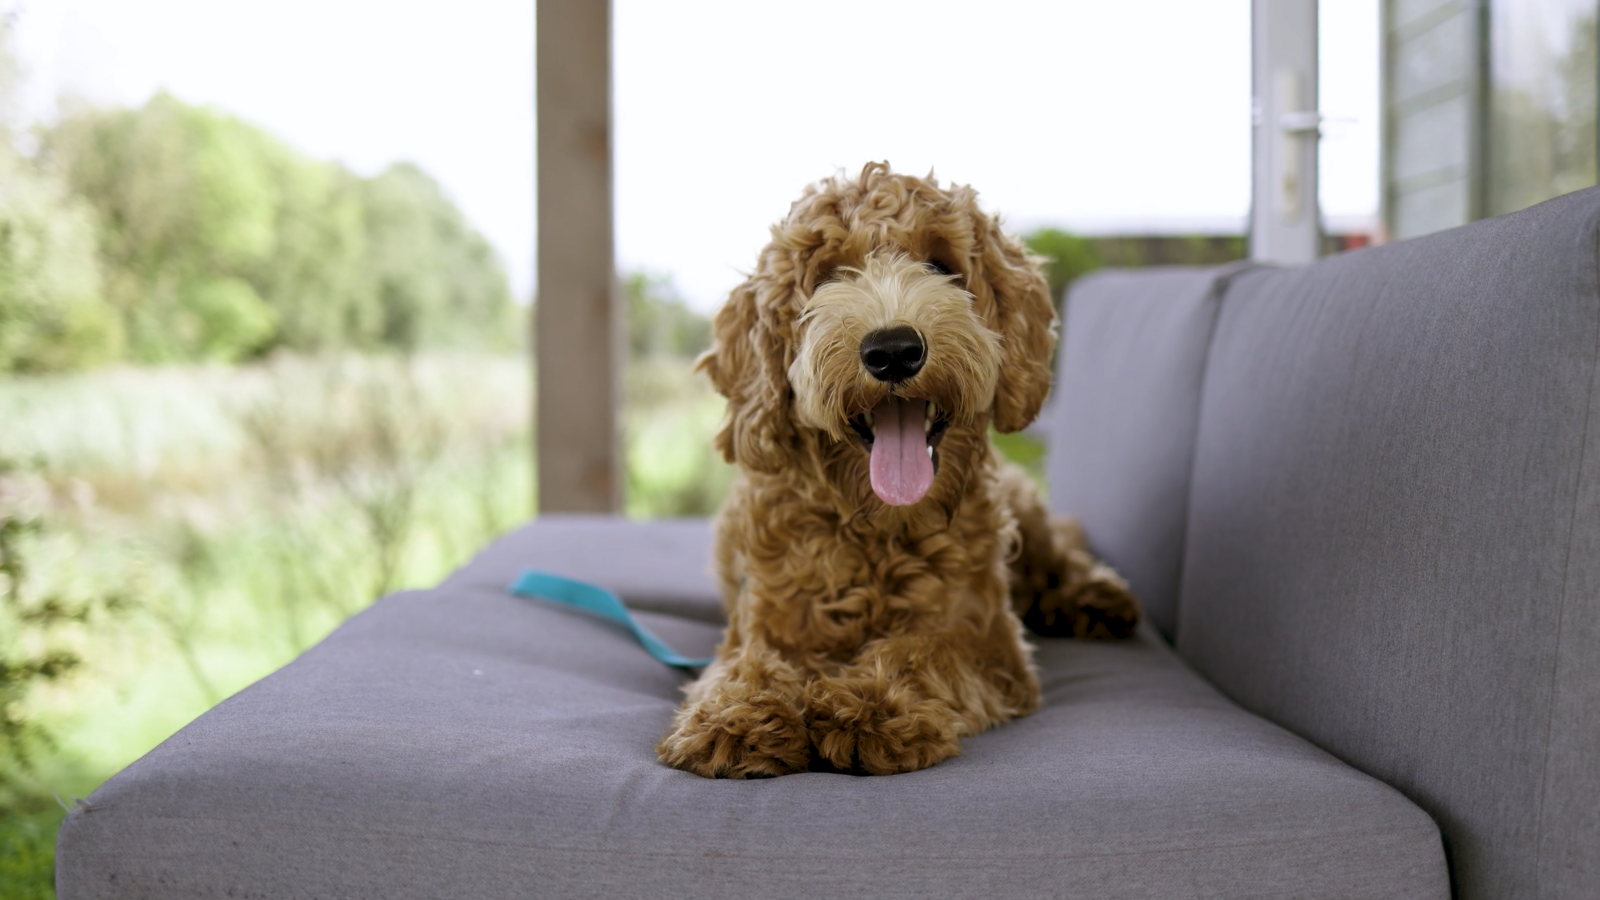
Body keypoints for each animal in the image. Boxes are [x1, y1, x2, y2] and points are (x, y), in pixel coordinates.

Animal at [656, 162, 1145, 778]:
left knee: (1059, 551)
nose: (892, 350)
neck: (877, 526)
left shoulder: (988, 640)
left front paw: (869, 703)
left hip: (1025, 516)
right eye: (826, 276)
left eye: (941, 265)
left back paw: (1095, 597)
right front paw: (738, 714)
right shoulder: (766, 619)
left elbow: (925, 650)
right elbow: (746, 660)